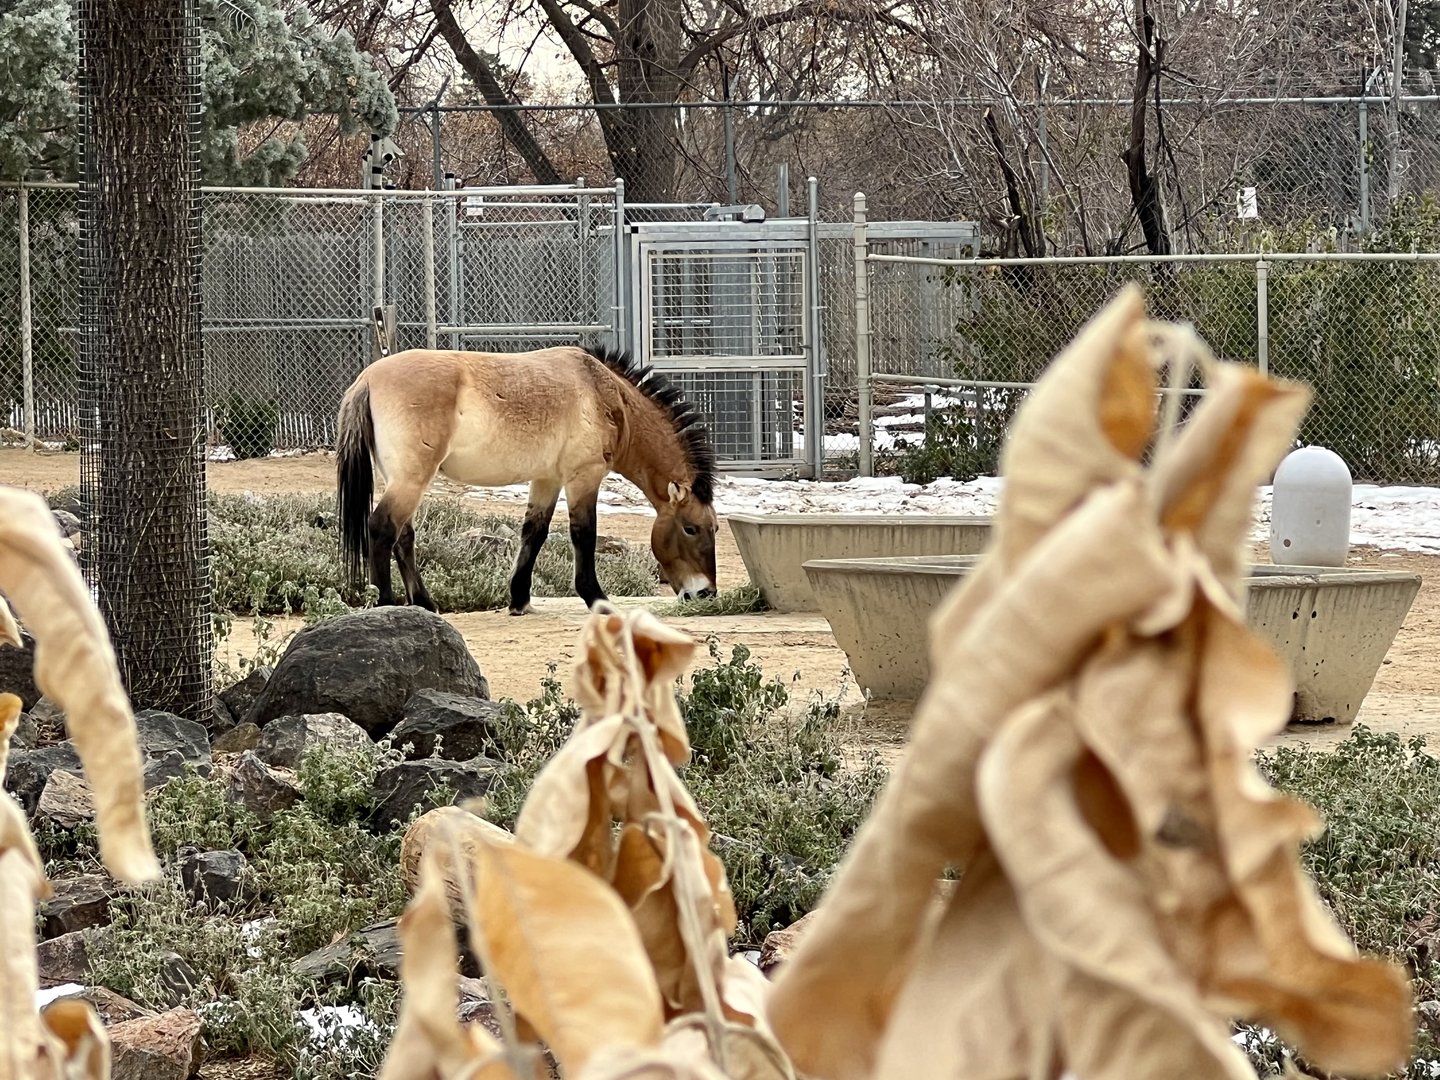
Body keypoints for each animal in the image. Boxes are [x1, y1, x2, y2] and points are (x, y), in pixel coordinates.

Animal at [335, 343, 720, 615]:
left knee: (404, 536)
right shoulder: (583, 477)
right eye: (691, 528)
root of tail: (367, 379)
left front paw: (519, 598)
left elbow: (534, 533)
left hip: (402, 478)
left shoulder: (546, 479)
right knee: (383, 528)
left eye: (714, 528)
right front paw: (597, 599)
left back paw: (425, 604)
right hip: (411, 479)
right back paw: (386, 603)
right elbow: (583, 534)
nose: (704, 593)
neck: (604, 392)